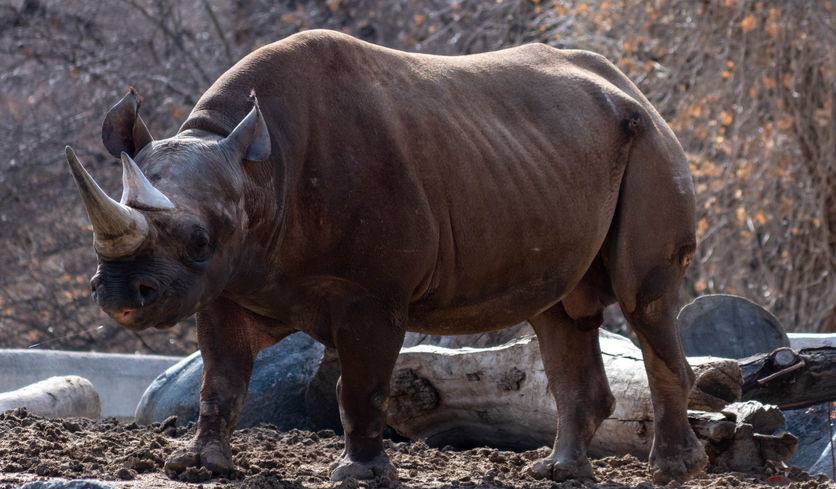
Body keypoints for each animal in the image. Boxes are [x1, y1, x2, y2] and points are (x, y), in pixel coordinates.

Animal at [66, 30, 706, 482]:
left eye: (199, 241)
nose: (119, 295)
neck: (256, 171)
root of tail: (637, 91)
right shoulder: (229, 283)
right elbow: (219, 381)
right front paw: (198, 467)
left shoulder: (372, 293)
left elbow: (361, 386)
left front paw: (360, 476)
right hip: (556, 160)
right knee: (559, 312)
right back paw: (559, 473)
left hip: (652, 144)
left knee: (645, 301)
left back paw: (671, 471)